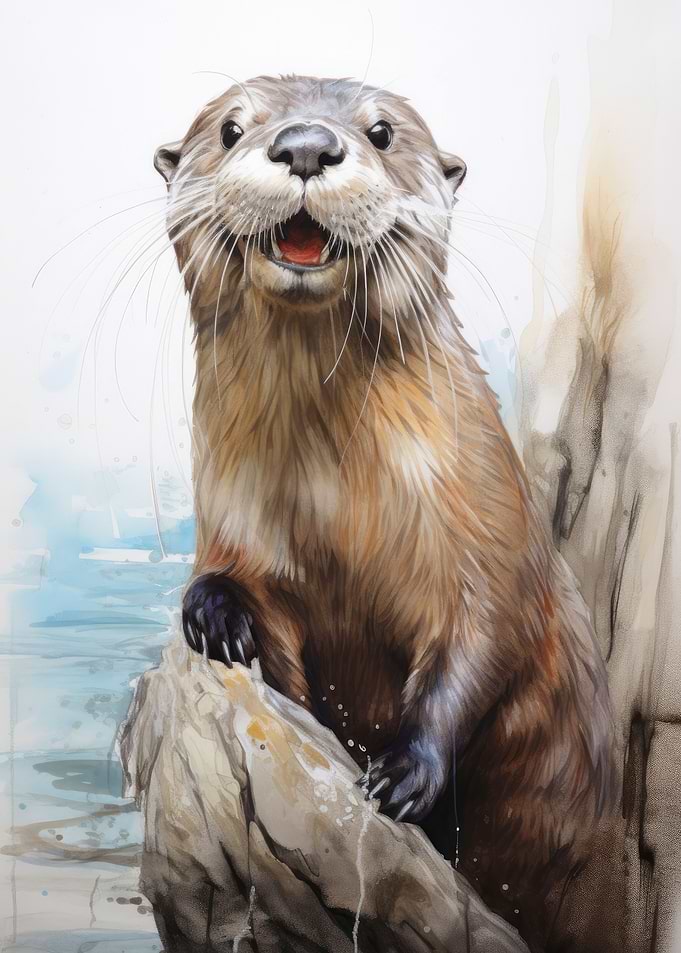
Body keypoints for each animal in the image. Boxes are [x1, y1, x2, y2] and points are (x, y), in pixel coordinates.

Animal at [154, 75, 614, 946]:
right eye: (230, 128)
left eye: (381, 132)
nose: (306, 144)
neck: (334, 505)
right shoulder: (237, 521)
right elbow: (248, 604)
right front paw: (218, 616)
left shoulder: (484, 522)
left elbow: (483, 633)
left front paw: (404, 772)